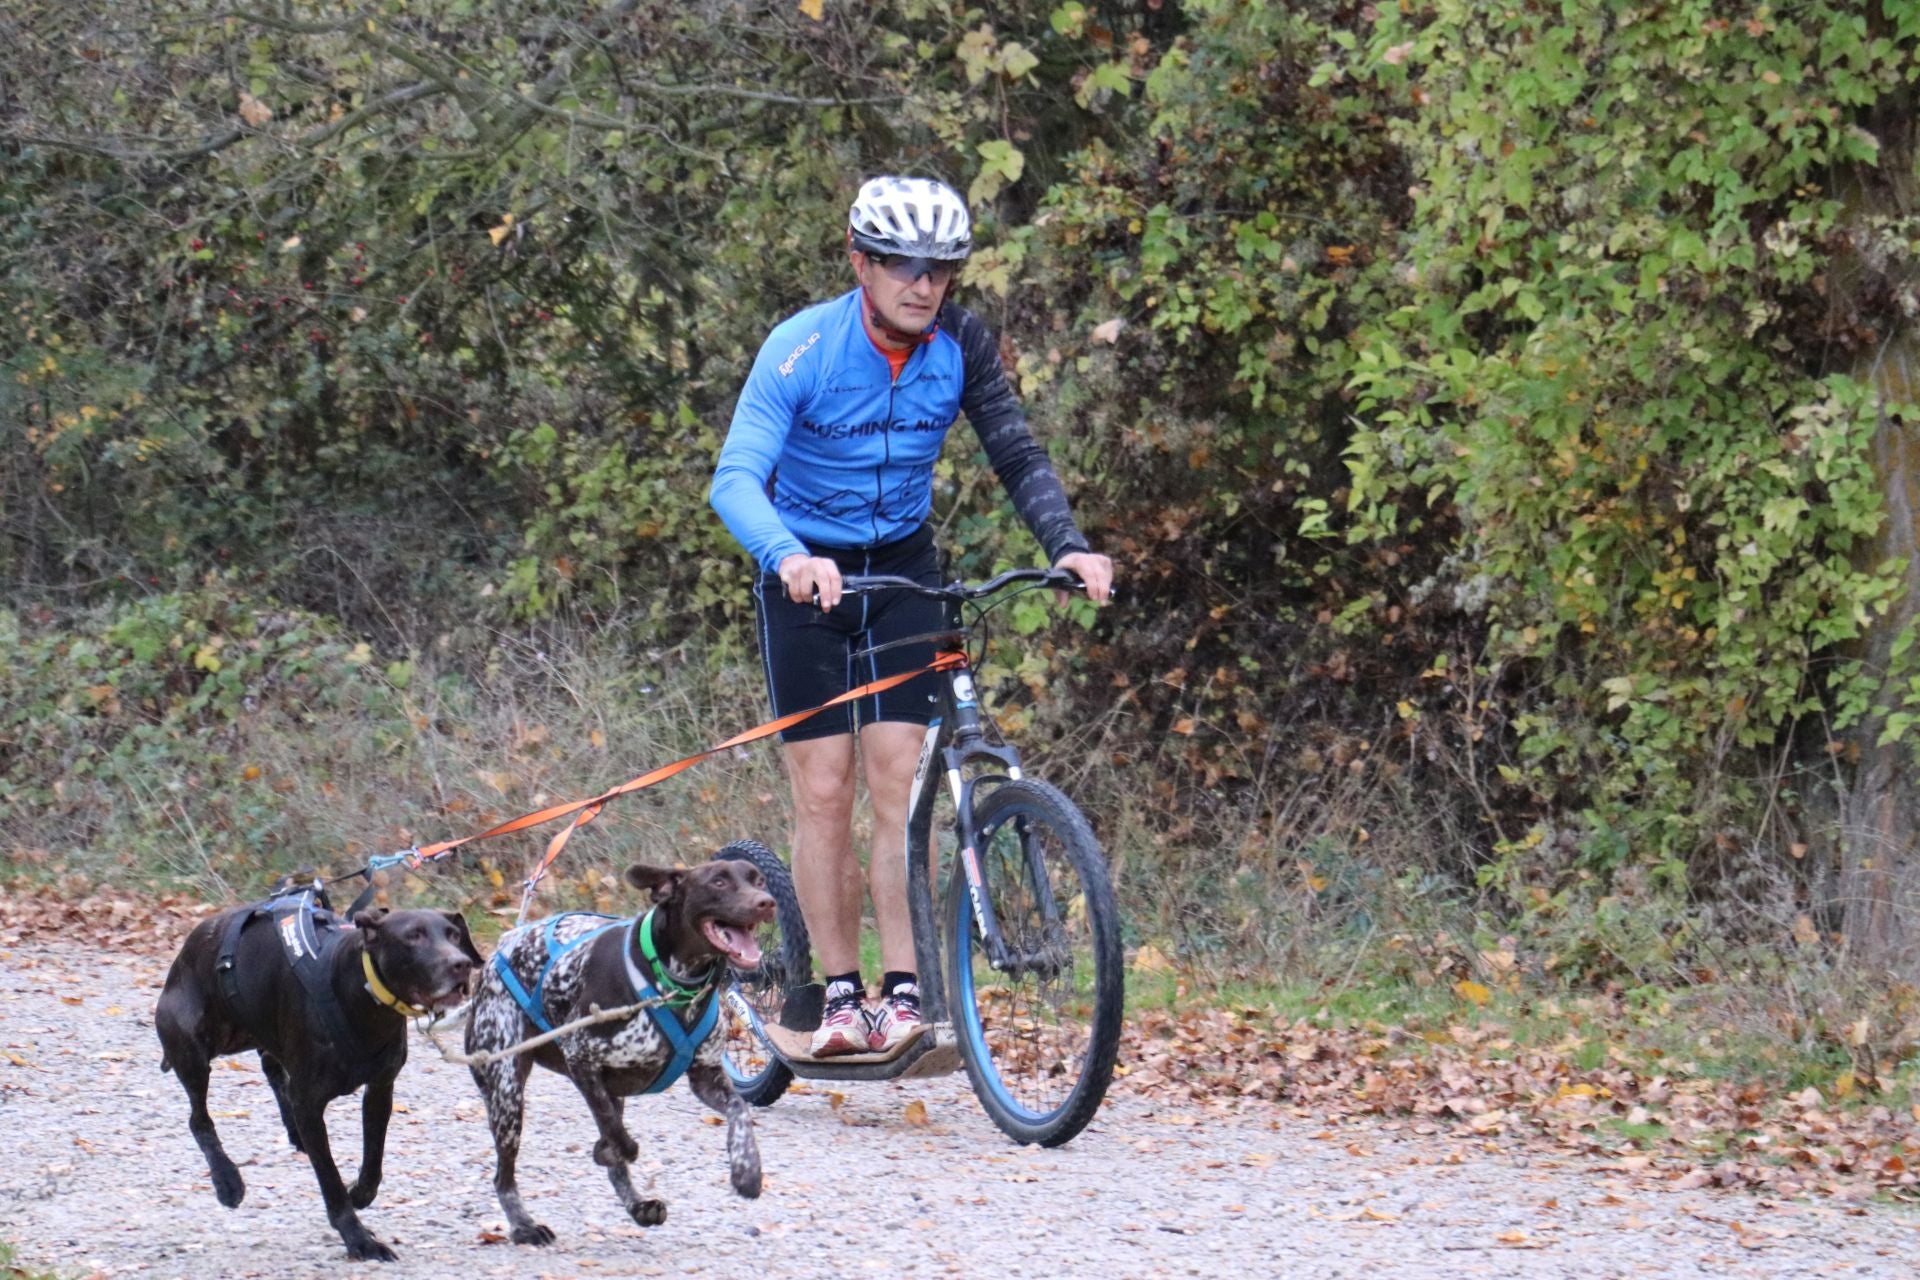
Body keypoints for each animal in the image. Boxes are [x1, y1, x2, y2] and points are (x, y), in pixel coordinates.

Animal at [155, 890, 480, 1258]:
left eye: (454, 935)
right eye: (413, 936)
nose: (461, 964)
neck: (365, 997)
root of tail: (184, 953)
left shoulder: (380, 1089)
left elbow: (373, 1160)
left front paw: (360, 1193)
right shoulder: (311, 1104)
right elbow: (330, 1179)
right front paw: (359, 1239)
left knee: (272, 1071)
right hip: (193, 1049)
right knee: (199, 1119)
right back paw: (227, 1180)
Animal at [468, 855, 775, 1243]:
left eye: (758, 879)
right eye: (718, 882)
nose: (766, 902)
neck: (673, 980)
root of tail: (499, 950)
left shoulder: (706, 1076)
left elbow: (739, 1111)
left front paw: (747, 1169)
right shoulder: (581, 1058)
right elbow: (616, 1134)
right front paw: (610, 1150)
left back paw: (638, 1205)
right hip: (507, 1095)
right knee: (504, 1176)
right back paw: (524, 1225)